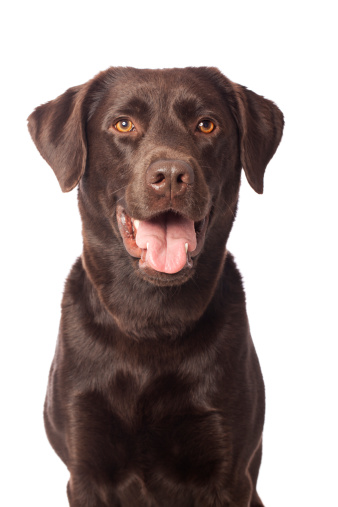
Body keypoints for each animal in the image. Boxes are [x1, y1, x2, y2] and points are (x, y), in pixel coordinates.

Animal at [27, 67, 284, 507]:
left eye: (206, 124)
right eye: (123, 124)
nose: (171, 177)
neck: (150, 320)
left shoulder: (228, 473)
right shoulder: (84, 467)